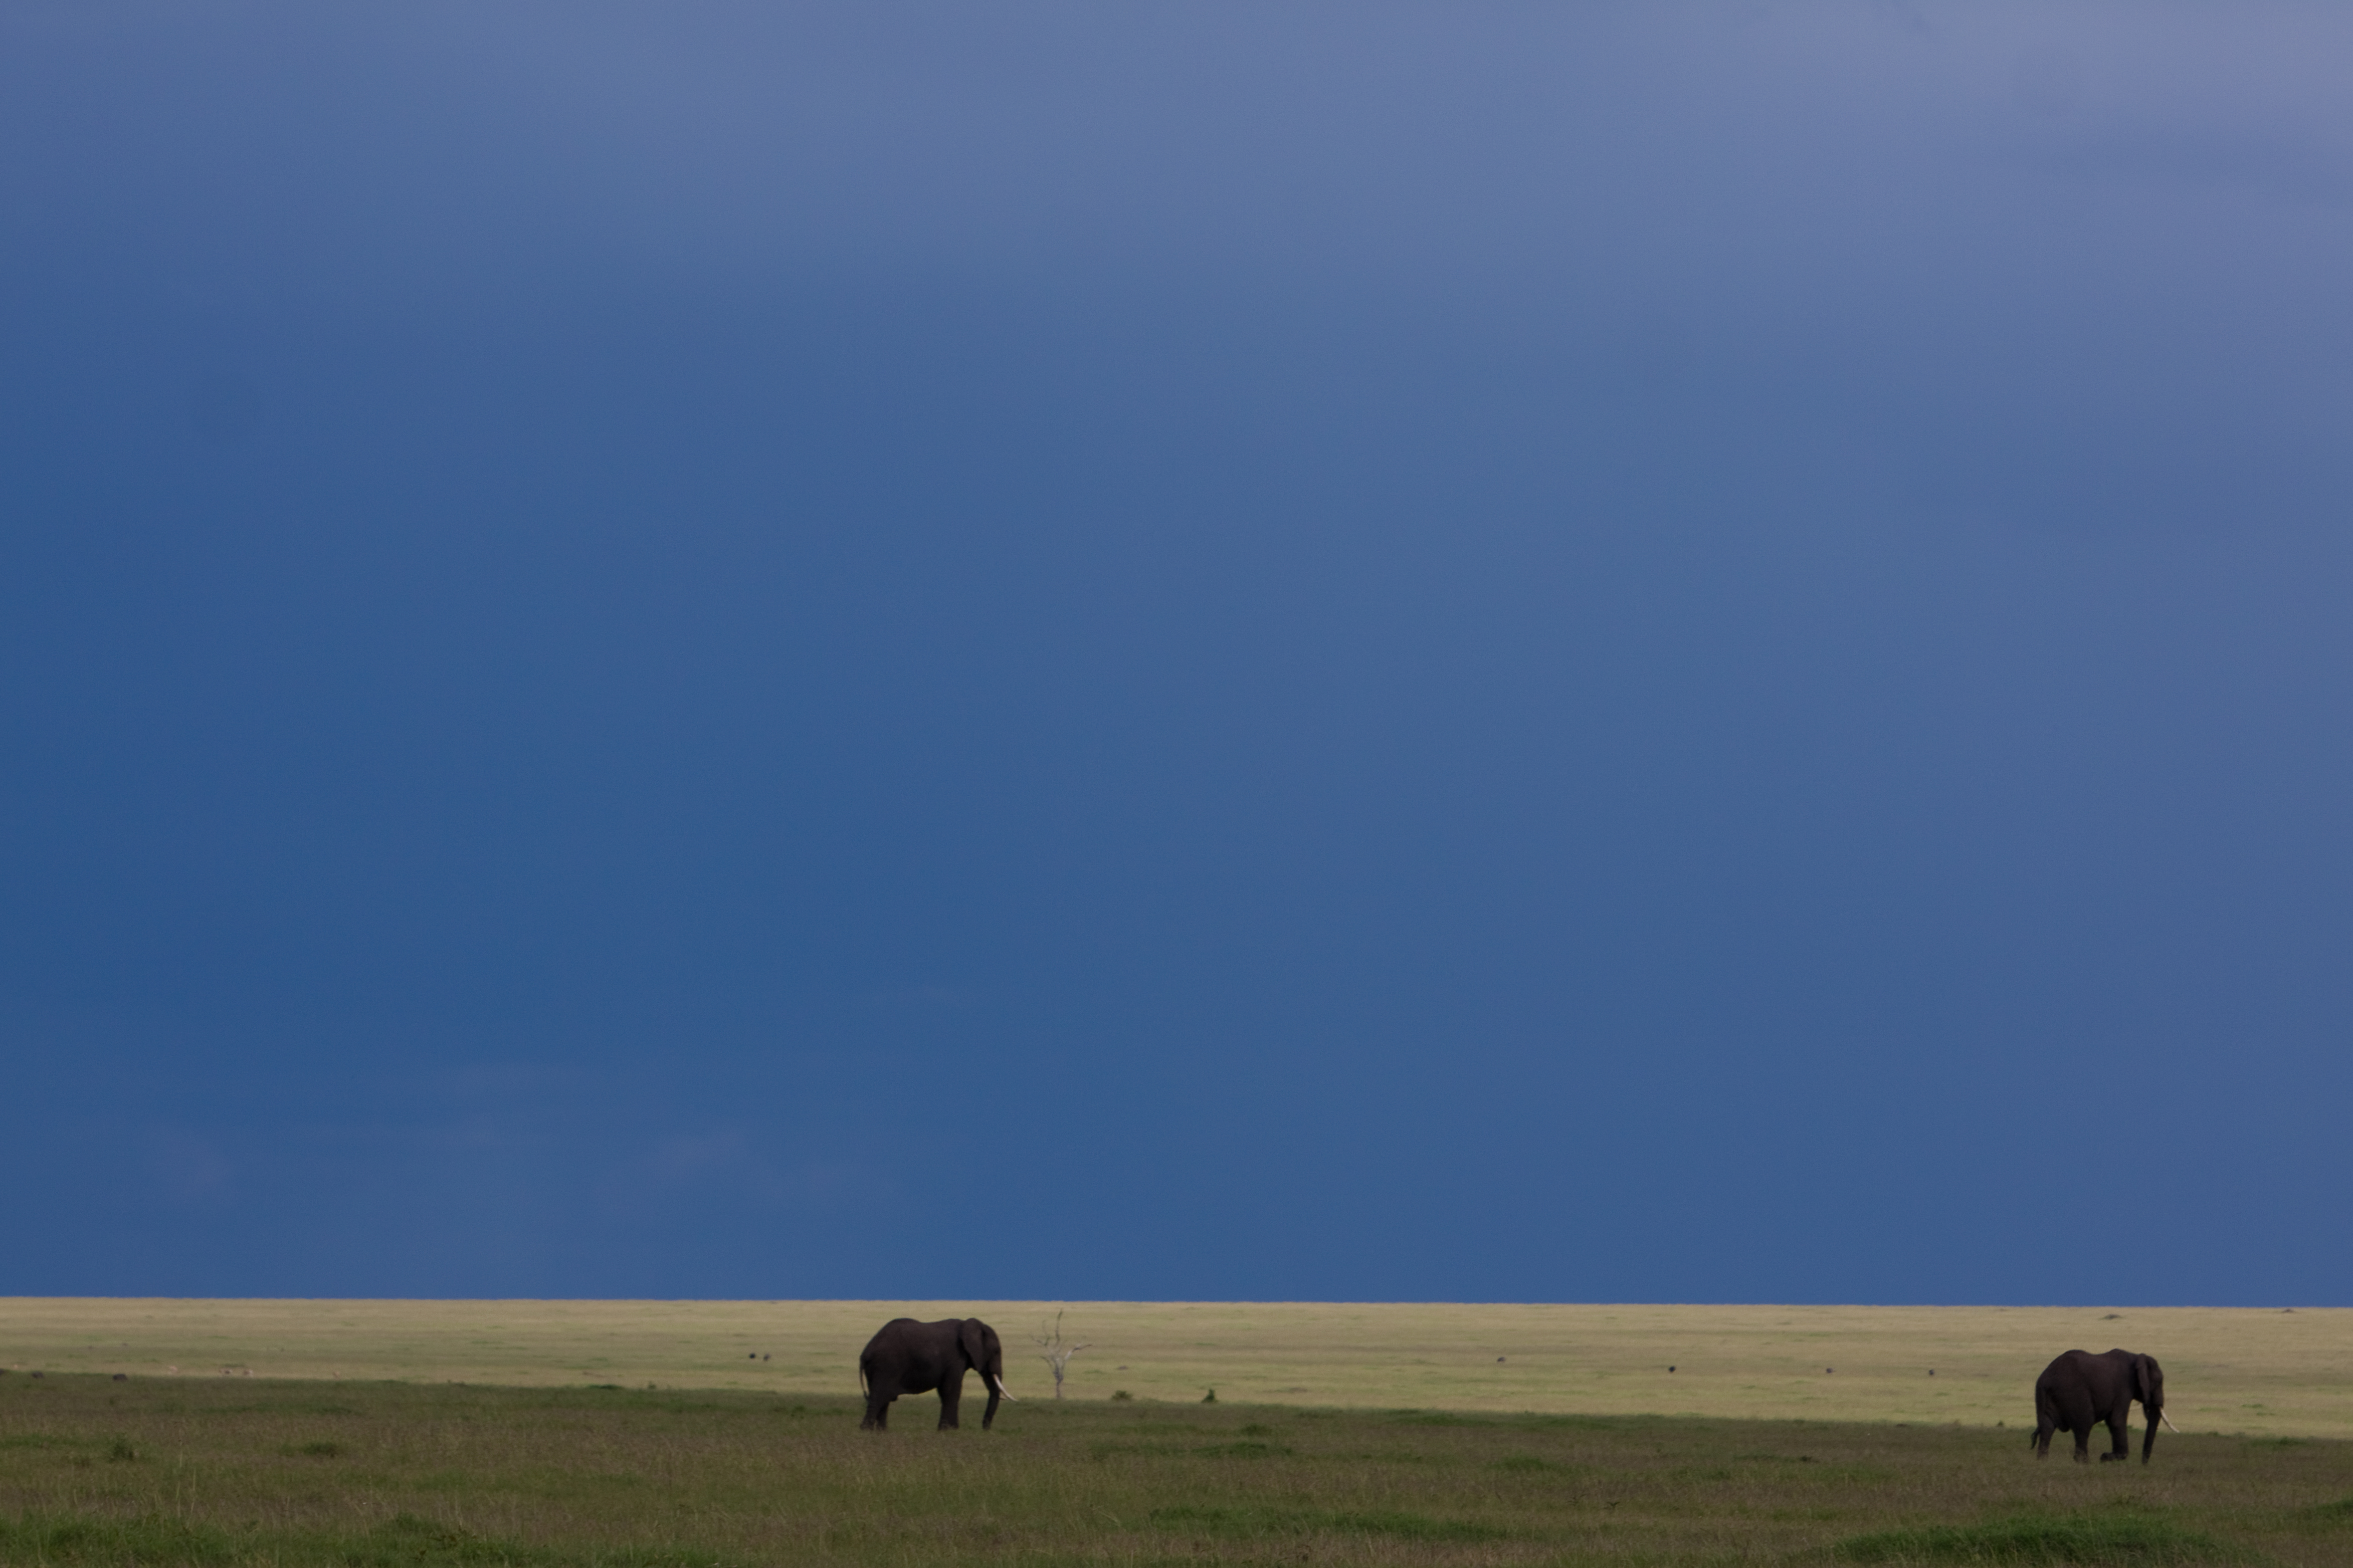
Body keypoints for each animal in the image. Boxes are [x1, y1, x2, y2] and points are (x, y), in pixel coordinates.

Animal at [858, 1317, 1015, 1431]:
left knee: (883, 1399)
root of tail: (865, 1353)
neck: (968, 1324)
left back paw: (881, 1433)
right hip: (887, 1366)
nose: (985, 1429)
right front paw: (950, 1430)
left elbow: (945, 1391)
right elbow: (951, 1390)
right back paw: (867, 1431)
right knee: (880, 1397)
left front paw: (949, 1430)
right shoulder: (955, 1357)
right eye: (996, 1351)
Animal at [2032, 1348, 2176, 1464]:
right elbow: (2116, 1420)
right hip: (2074, 1393)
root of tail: (2048, 1379)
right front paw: (2105, 1457)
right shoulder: (2124, 1387)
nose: (2143, 1464)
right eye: (2159, 1382)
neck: (2136, 1356)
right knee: (2084, 1424)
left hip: (2043, 1395)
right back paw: (2084, 1463)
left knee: (2047, 1426)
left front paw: (2107, 1457)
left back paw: (2043, 1462)